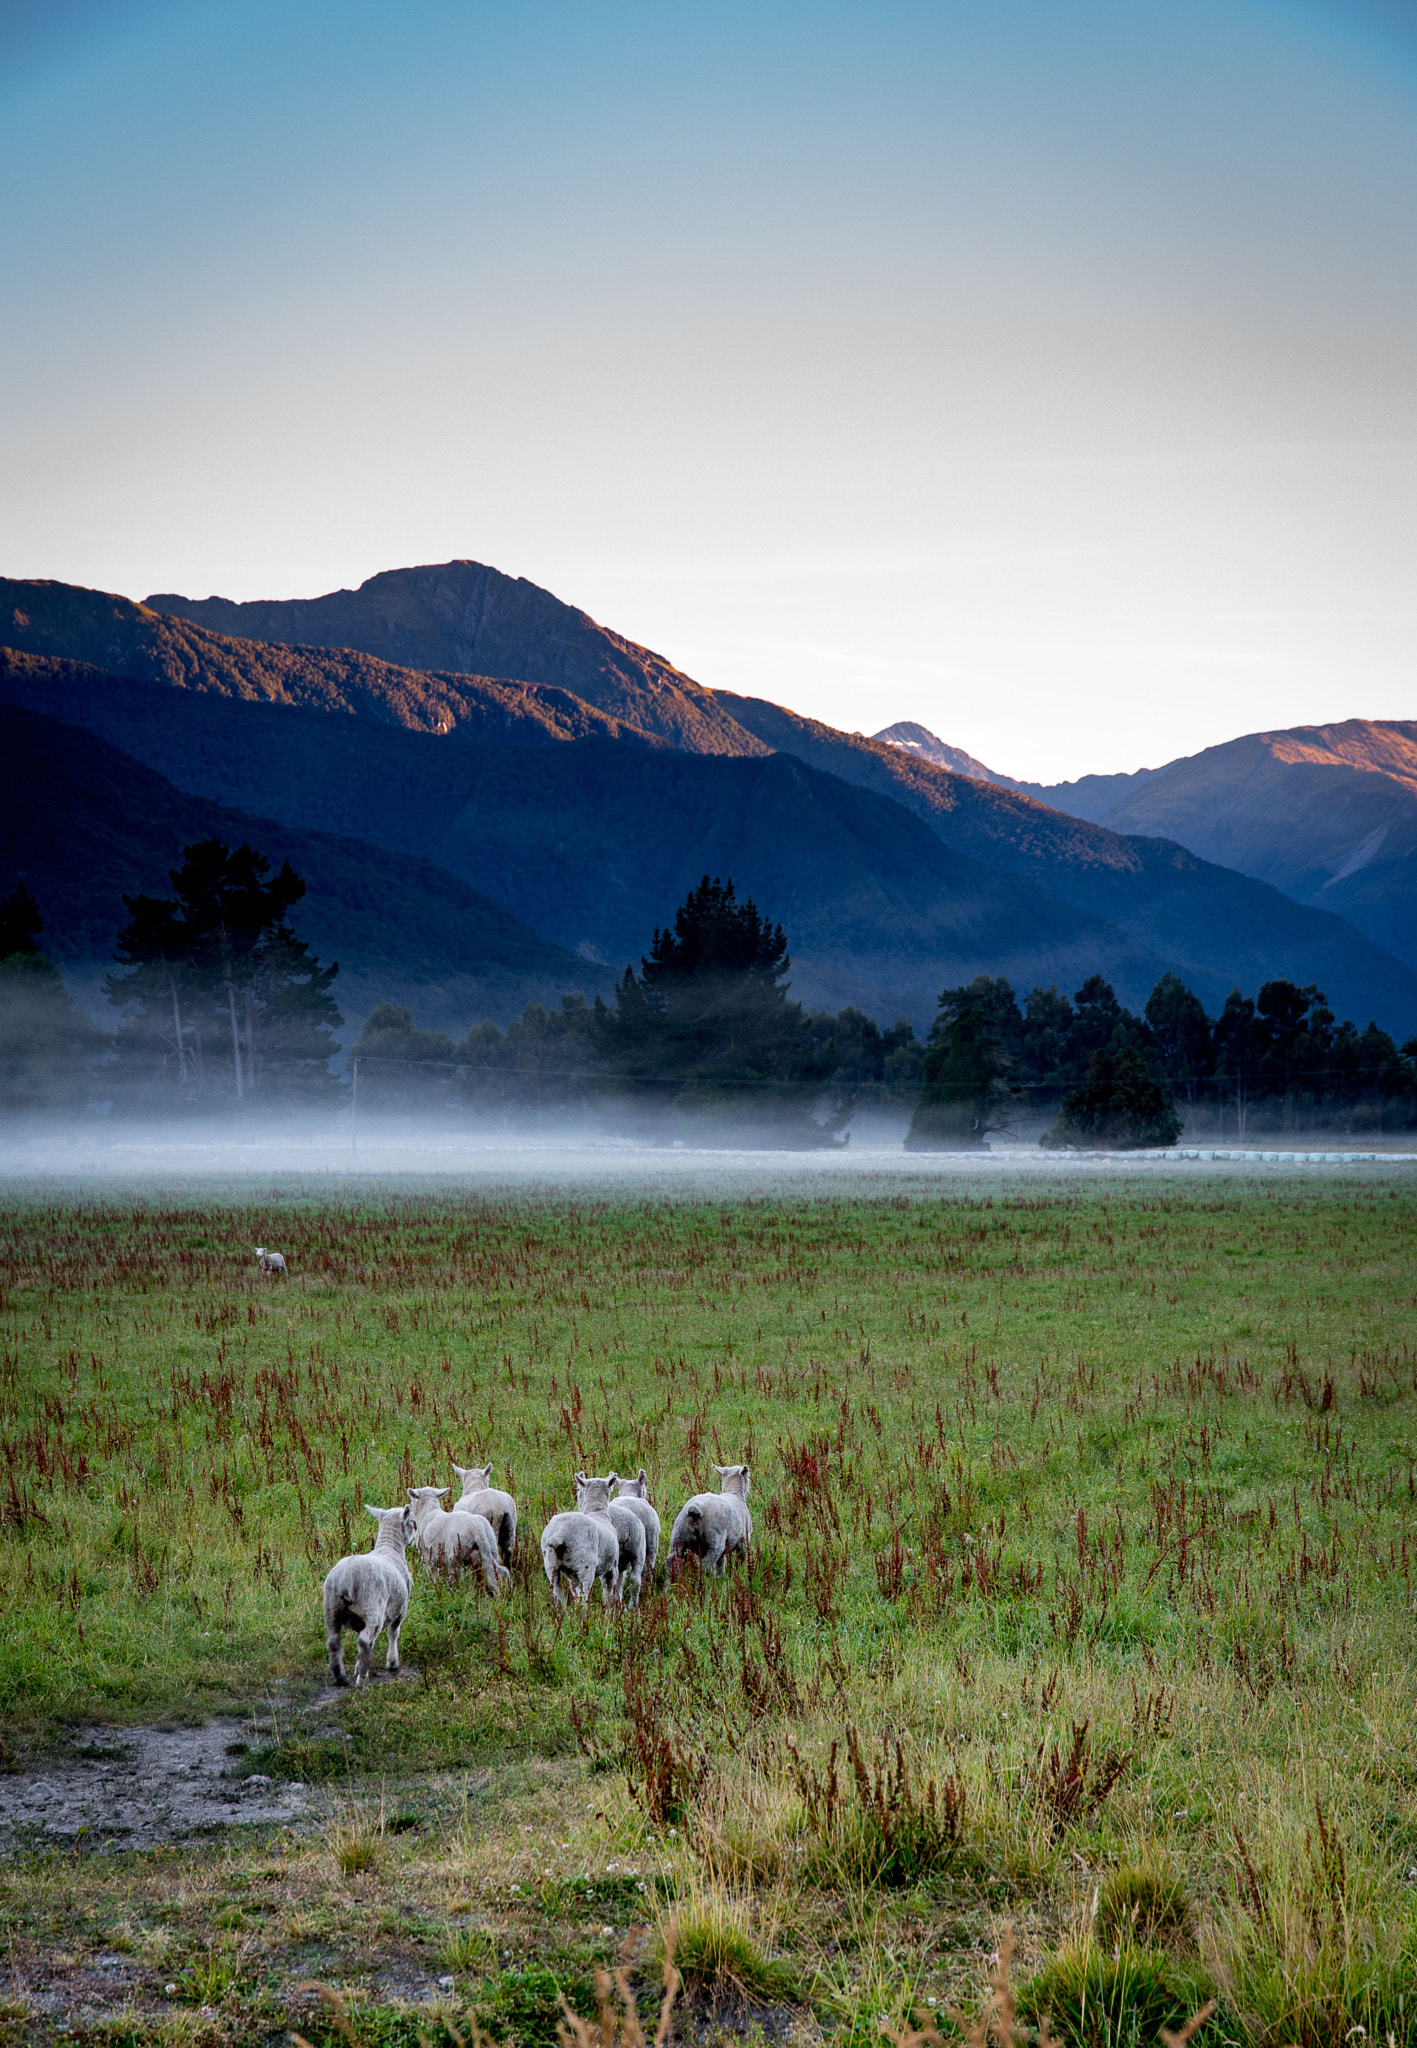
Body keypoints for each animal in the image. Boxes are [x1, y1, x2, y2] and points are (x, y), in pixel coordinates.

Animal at [319, 1499, 409, 1687]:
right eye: (413, 1522)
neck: (389, 1548)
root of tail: (346, 1577)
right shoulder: (400, 1609)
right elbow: (393, 1634)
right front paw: (392, 1663)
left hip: (331, 1609)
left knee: (334, 1642)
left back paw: (341, 1676)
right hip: (373, 1608)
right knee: (364, 1640)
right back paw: (361, 1678)